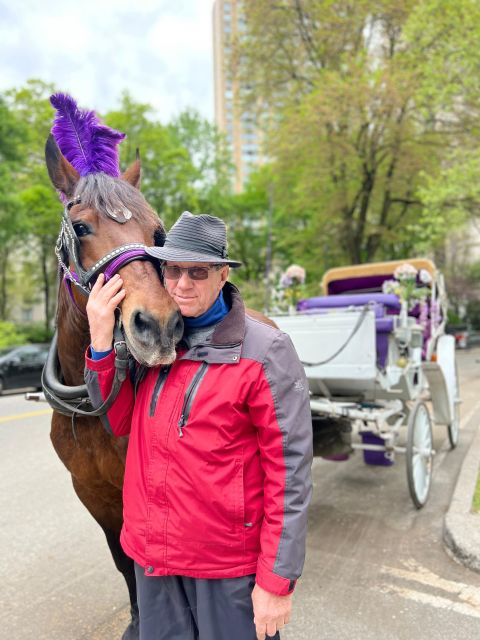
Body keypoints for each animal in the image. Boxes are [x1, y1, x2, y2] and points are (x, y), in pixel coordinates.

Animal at [43, 132, 182, 636]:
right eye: (81, 227)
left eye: (158, 234)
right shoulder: (90, 488)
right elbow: (122, 557)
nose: (160, 325)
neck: (91, 406)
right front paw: (138, 617)